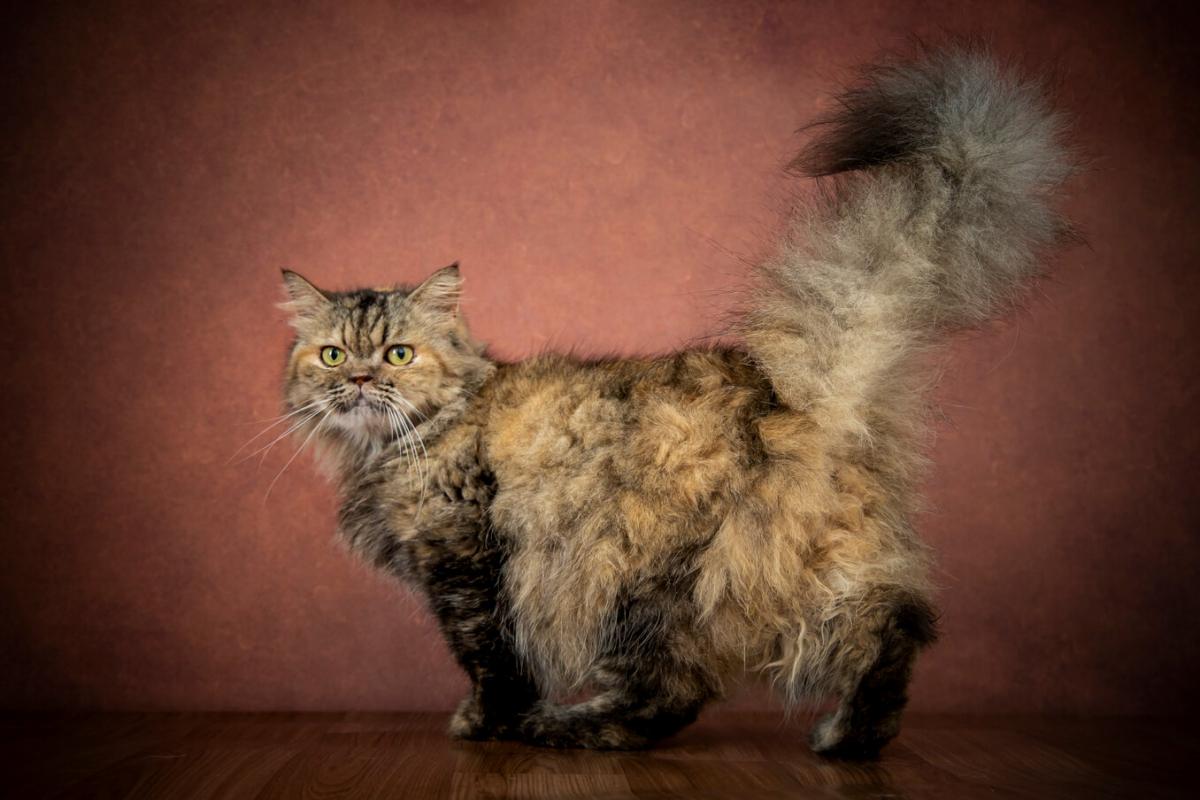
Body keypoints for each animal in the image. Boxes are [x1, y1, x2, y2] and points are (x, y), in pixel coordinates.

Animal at [278, 48, 1070, 758]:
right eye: (332, 355)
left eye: (399, 355)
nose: (359, 381)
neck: (388, 449)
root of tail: (786, 391)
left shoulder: (465, 564)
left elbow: (492, 664)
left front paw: (484, 725)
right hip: (822, 568)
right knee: (893, 627)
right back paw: (851, 740)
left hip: (633, 579)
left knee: (674, 694)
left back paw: (568, 729)